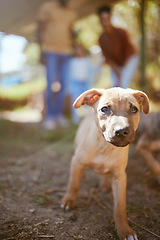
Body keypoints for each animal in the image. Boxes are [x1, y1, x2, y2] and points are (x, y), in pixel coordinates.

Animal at [60, 88, 149, 240]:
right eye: (104, 109)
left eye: (134, 109)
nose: (122, 131)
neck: (105, 146)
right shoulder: (77, 160)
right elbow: (73, 184)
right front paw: (69, 200)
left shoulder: (120, 177)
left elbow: (120, 207)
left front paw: (125, 230)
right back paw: (82, 176)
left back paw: (104, 184)